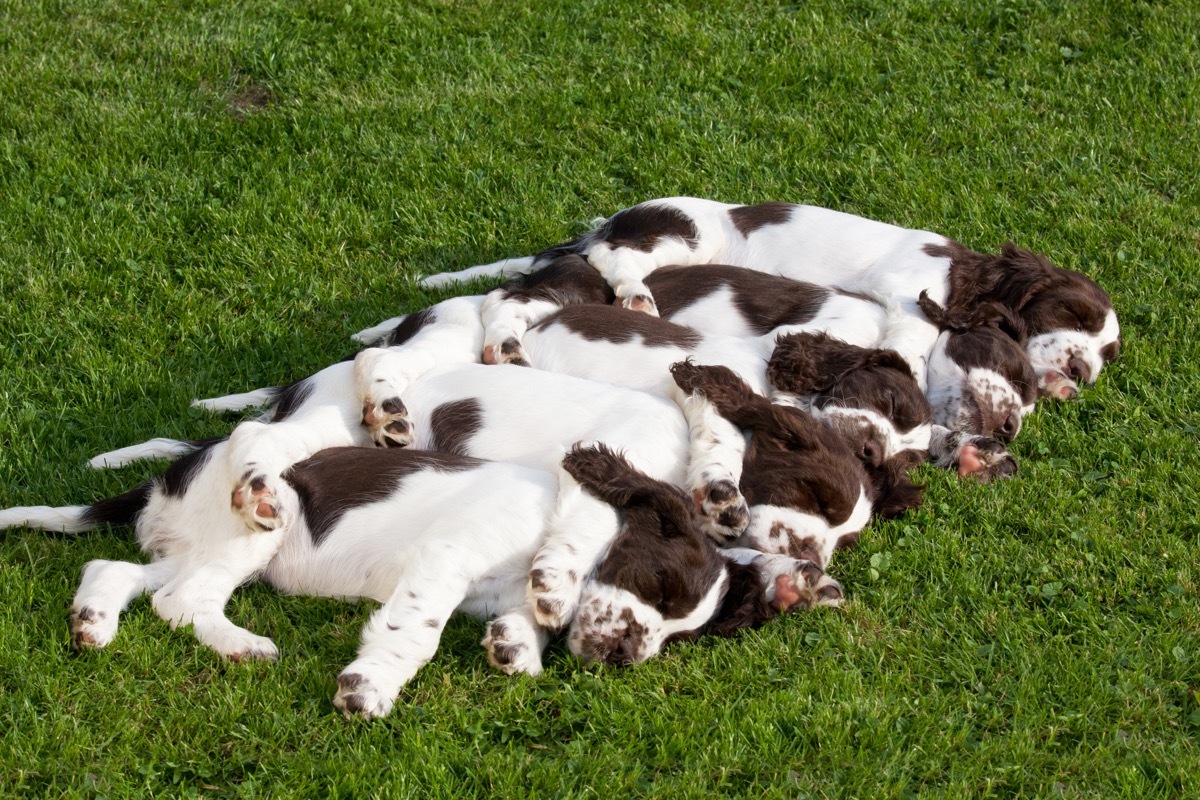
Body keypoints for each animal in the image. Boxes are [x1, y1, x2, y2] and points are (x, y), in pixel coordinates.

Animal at [0, 443, 830, 719]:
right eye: (660, 592)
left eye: (679, 635)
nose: (630, 655)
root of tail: (168, 476)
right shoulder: (448, 557)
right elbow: (417, 634)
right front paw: (368, 689)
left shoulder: (495, 588)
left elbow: (523, 621)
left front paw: (513, 648)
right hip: (253, 529)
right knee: (181, 599)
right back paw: (241, 646)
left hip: (191, 542)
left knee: (116, 568)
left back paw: (92, 623)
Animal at [420, 200, 1113, 400]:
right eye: (1071, 314)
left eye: (1107, 355)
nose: (1083, 370)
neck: (963, 272)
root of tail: (606, 222)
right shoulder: (907, 289)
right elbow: (909, 335)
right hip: (686, 233)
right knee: (597, 271)